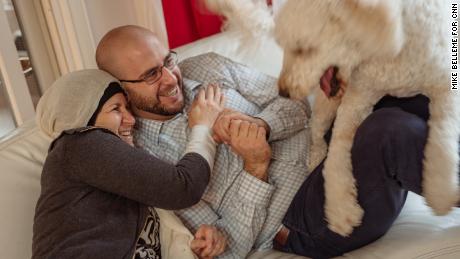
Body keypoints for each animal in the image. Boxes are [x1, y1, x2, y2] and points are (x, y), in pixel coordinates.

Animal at [207, 0, 460, 237]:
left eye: (303, 48)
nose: (284, 92)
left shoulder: (446, 86)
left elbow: (442, 137)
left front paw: (440, 191)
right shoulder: (356, 100)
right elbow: (335, 157)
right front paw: (341, 211)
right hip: (327, 105)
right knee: (316, 132)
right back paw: (315, 157)